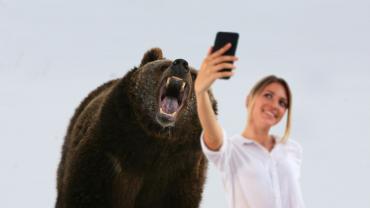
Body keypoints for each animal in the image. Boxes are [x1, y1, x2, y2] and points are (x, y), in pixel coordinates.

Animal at [55, 48, 217, 208]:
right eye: (163, 66)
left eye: (194, 75)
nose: (181, 63)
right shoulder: (106, 157)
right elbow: (86, 193)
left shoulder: (179, 174)